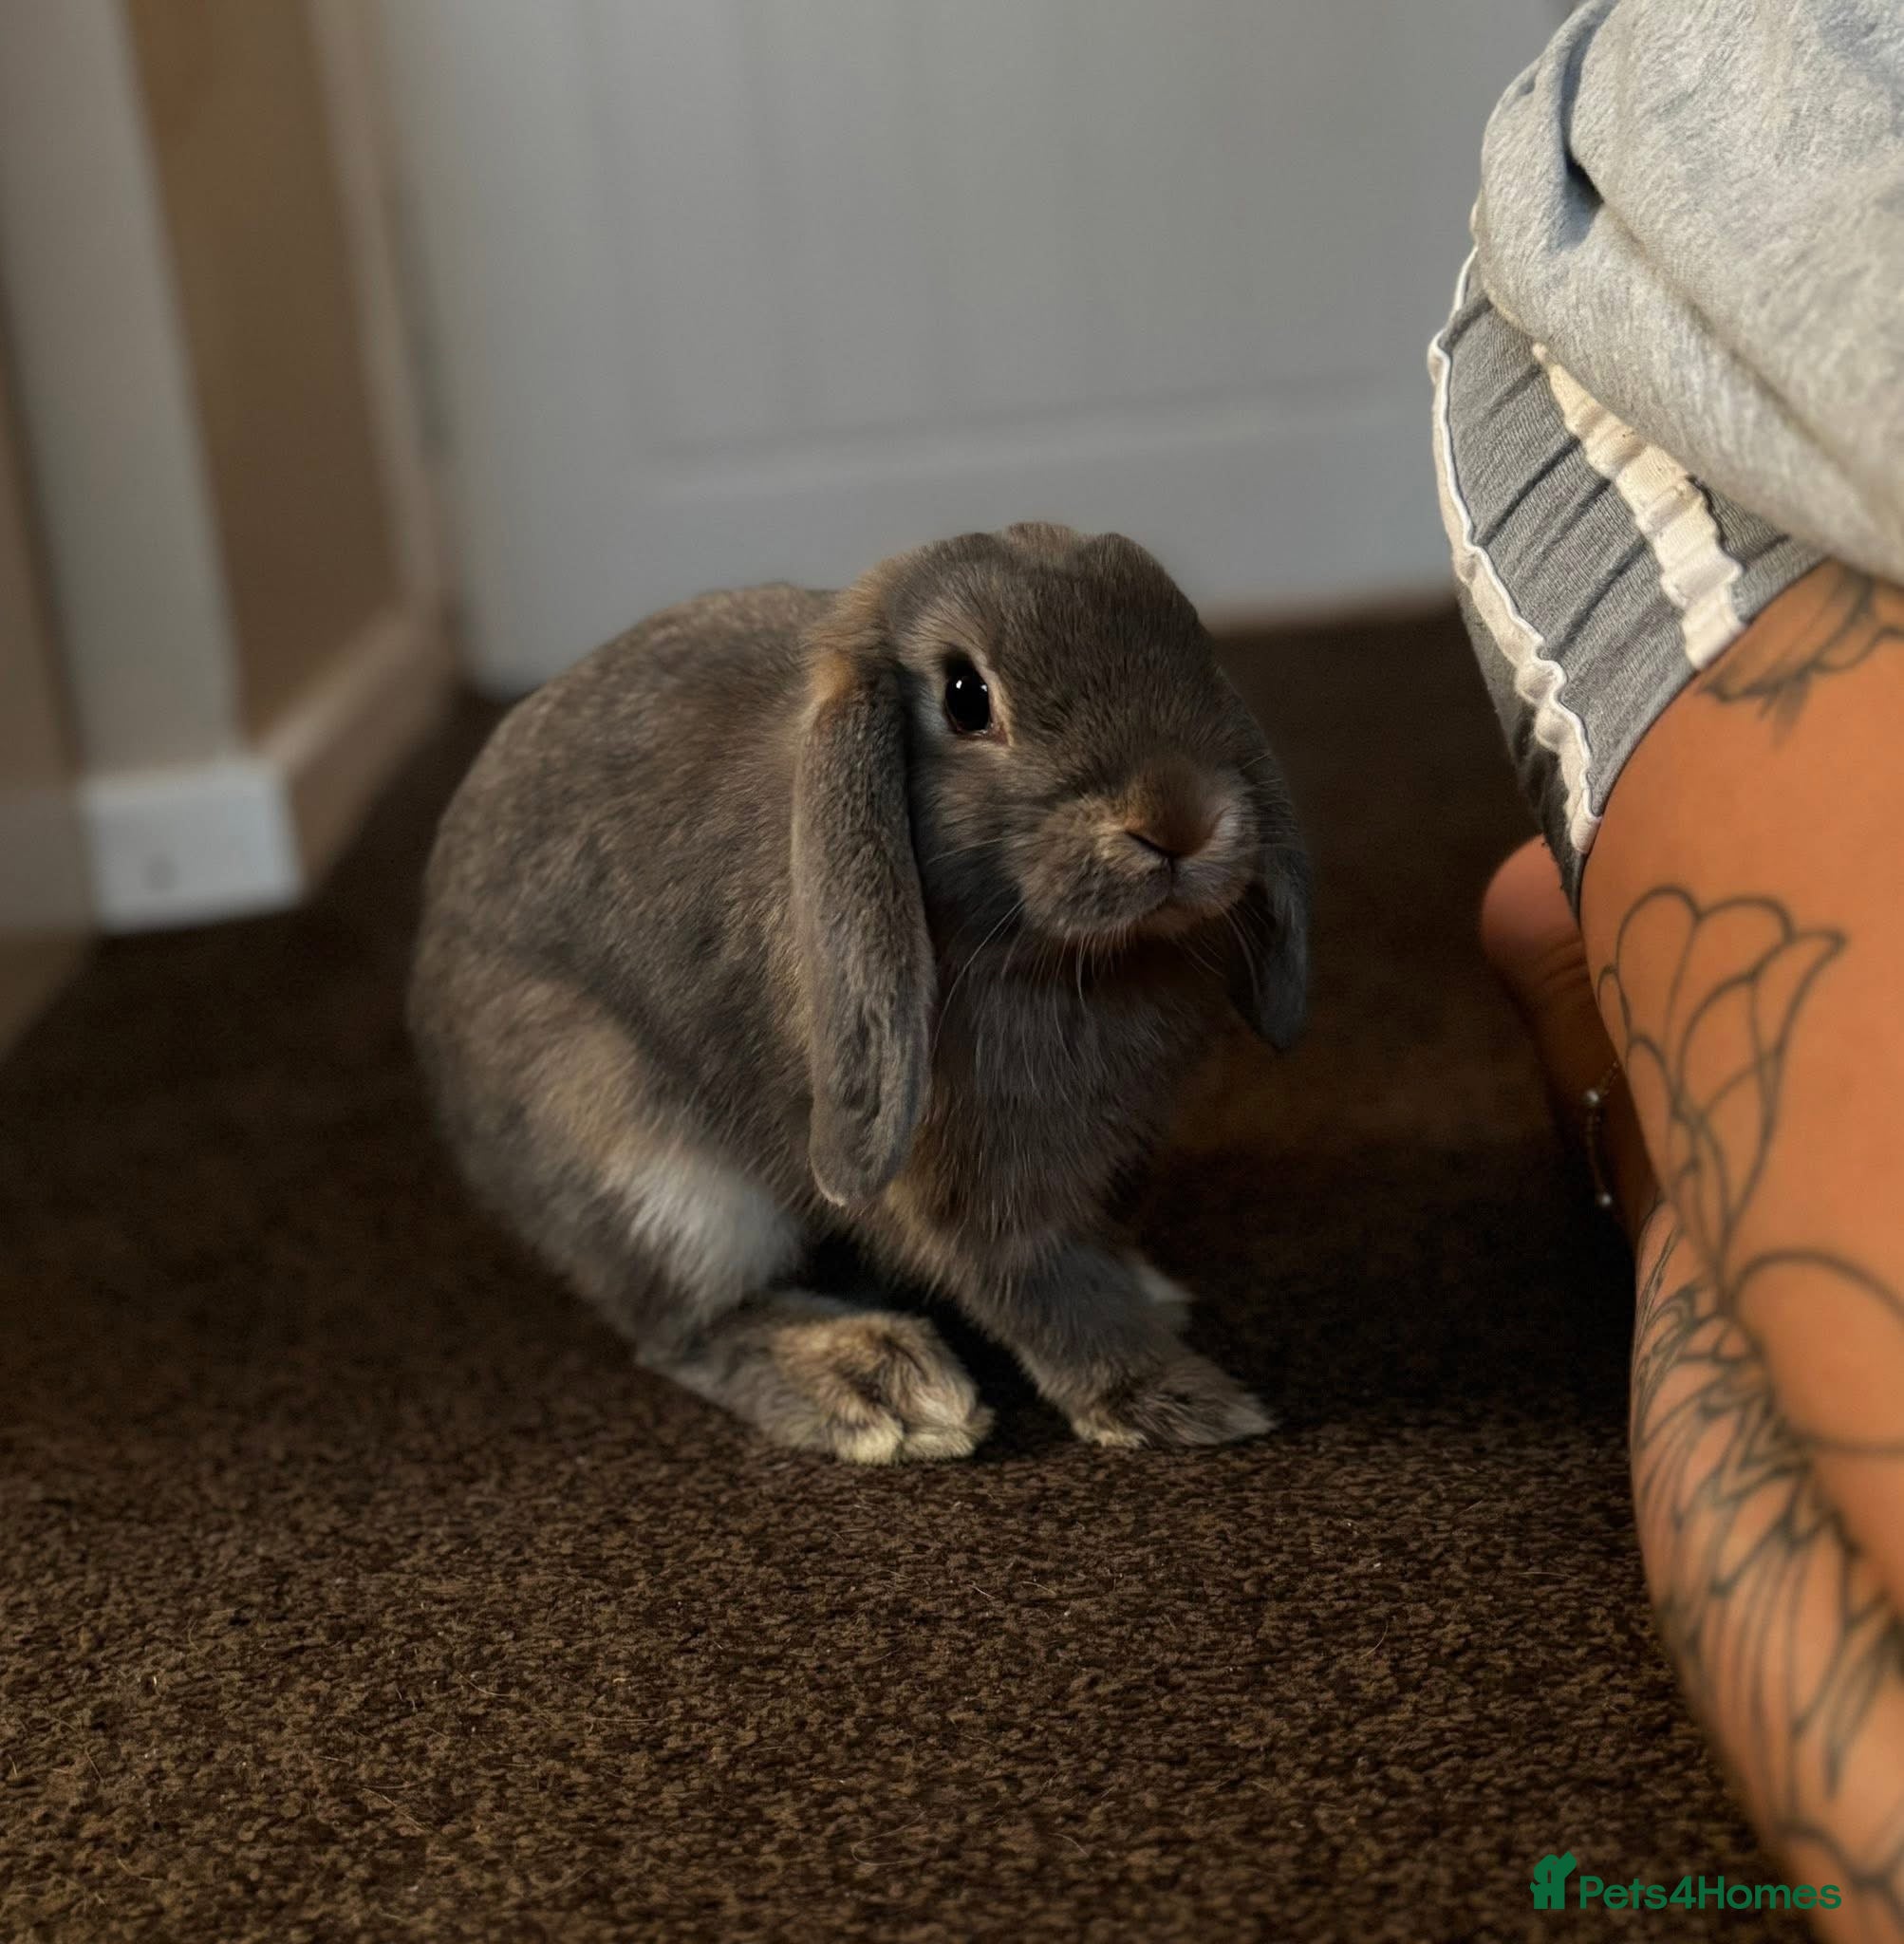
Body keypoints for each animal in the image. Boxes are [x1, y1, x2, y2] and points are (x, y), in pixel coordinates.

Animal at [409, 523, 1310, 1462]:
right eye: (966, 697)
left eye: (1192, 639)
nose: (1178, 817)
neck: (1070, 960)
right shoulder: (962, 1190)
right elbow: (1045, 1289)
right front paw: (1170, 1398)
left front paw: (1149, 1297)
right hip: (656, 1183)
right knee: (690, 1329)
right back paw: (881, 1386)